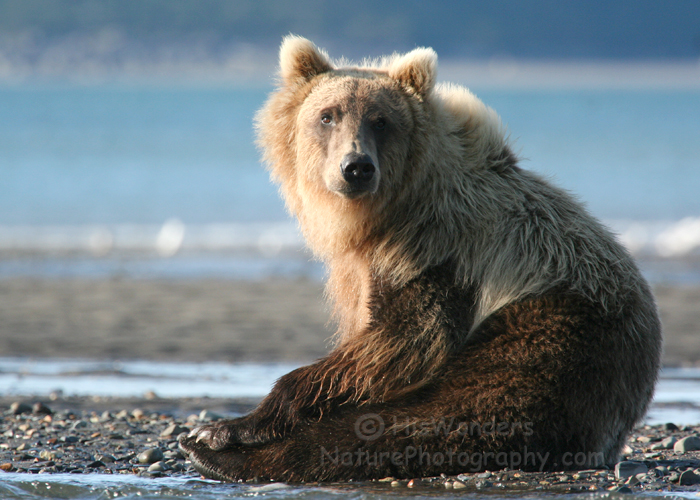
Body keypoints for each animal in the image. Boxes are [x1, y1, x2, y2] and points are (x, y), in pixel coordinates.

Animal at [180, 35, 660, 480]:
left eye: (381, 120)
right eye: (328, 114)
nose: (356, 167)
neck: (387, 215)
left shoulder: (439, 256)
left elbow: (404, 340)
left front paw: (230, 426)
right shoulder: (369, 268)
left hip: (556, 335)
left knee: (440, 419)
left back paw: (224, 453)